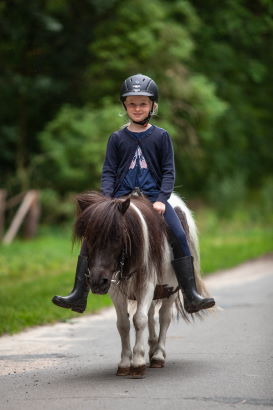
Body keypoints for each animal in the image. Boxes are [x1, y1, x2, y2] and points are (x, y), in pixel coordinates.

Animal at [74, 191, 210, 378]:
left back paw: (158, 355)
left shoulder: (146, 285)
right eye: (88, 237)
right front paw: (125, 363)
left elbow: (139, 320)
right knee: (152, 315)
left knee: (164, 317)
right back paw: (152, 349)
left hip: (171, 289)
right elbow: (123, 324)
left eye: (117, 236)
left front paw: (138, 362)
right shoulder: (116, 291)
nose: (97, 281)